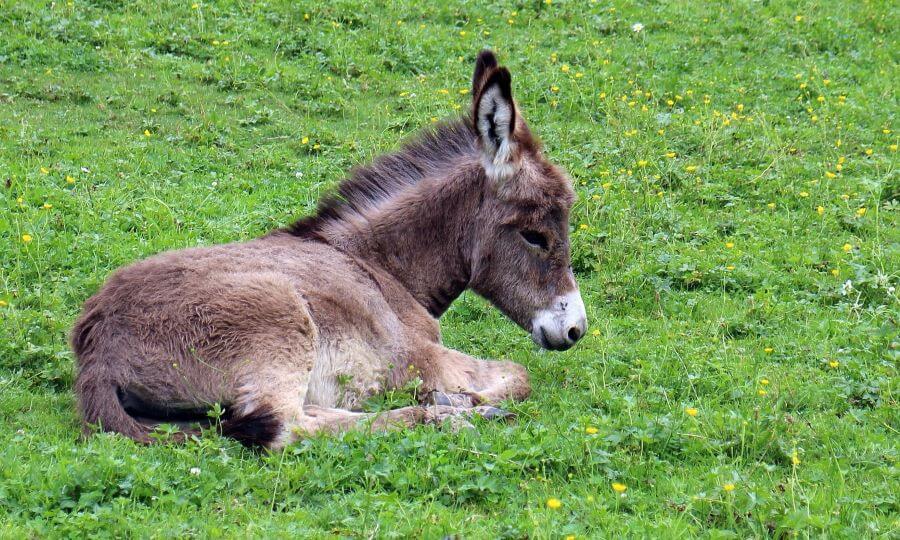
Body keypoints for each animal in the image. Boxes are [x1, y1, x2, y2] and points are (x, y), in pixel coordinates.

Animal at [72, 49, 592, 448]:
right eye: (535, 235)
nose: (575, 330)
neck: (381, 265)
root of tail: (96, 350)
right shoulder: (417, 354)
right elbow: (519, 375)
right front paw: (460, 400)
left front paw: (456, 399)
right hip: (279, 328)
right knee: (284, 427)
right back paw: (443, 415)